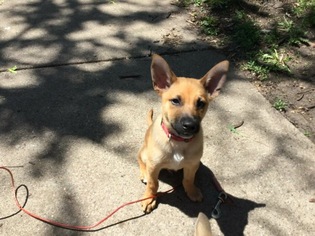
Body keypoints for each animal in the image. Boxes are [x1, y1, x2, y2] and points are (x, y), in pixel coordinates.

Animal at [138, 54, 230, 213]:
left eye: (201, 103)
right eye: (175, 101)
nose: (190, 126)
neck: (178, 141)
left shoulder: (192, 164)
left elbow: (188, 179)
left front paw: (191, 191)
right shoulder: (154, 166)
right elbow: (153, 184)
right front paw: (149, 198)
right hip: (144, 154)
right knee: (140, 160)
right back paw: (144, 174)